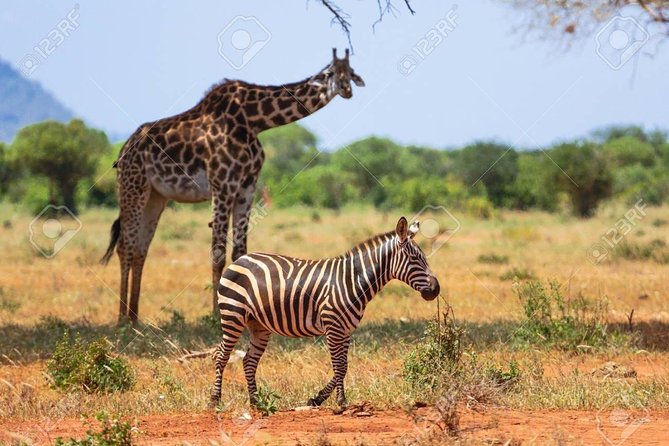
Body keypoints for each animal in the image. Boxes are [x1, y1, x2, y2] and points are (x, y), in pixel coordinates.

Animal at [100, 48, 366, 324]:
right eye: (330, 73)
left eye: (351, 72)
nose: (347, 89)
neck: (254, 120)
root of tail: (123, 151)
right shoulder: (223, 183)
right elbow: (217, 254)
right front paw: (217, 315)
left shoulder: (247, 186)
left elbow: (239, 253)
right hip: (133, 186)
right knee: (125, 246)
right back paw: (121, 319)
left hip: (156, 196)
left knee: (141, 249)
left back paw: (134, 317)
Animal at [209, 216, 438, 408]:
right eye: (414, 258)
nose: (436, 290)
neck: (352, 280)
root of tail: (238, 261)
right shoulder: (333, 327)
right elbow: (339, 366)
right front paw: (334, 401)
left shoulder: (346, 330)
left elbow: (343, 366)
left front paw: (324, 399)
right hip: (232, 315)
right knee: (221, 355)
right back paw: (215, 401)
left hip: (259, 325)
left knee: (249, 360)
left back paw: (256, 402)